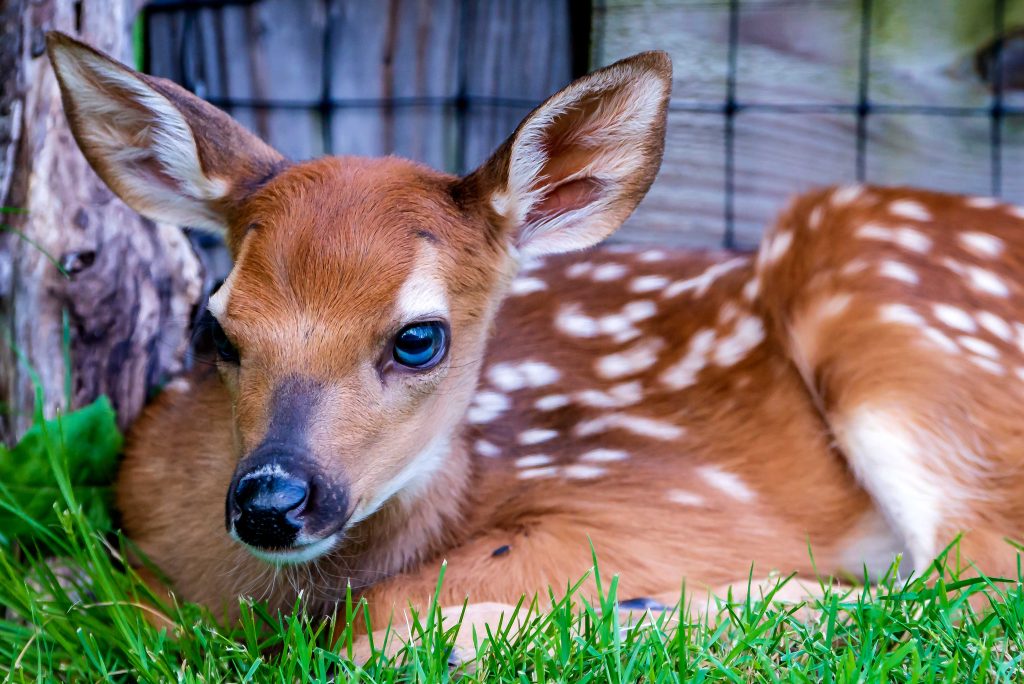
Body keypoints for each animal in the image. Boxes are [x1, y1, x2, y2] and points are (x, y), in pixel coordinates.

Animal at [46, 30, 1024, 659]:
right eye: (214, 325)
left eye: (419, 338)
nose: (269, 501)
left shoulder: (674, 499)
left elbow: (377, 616)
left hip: (886, 304)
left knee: (974, 589)